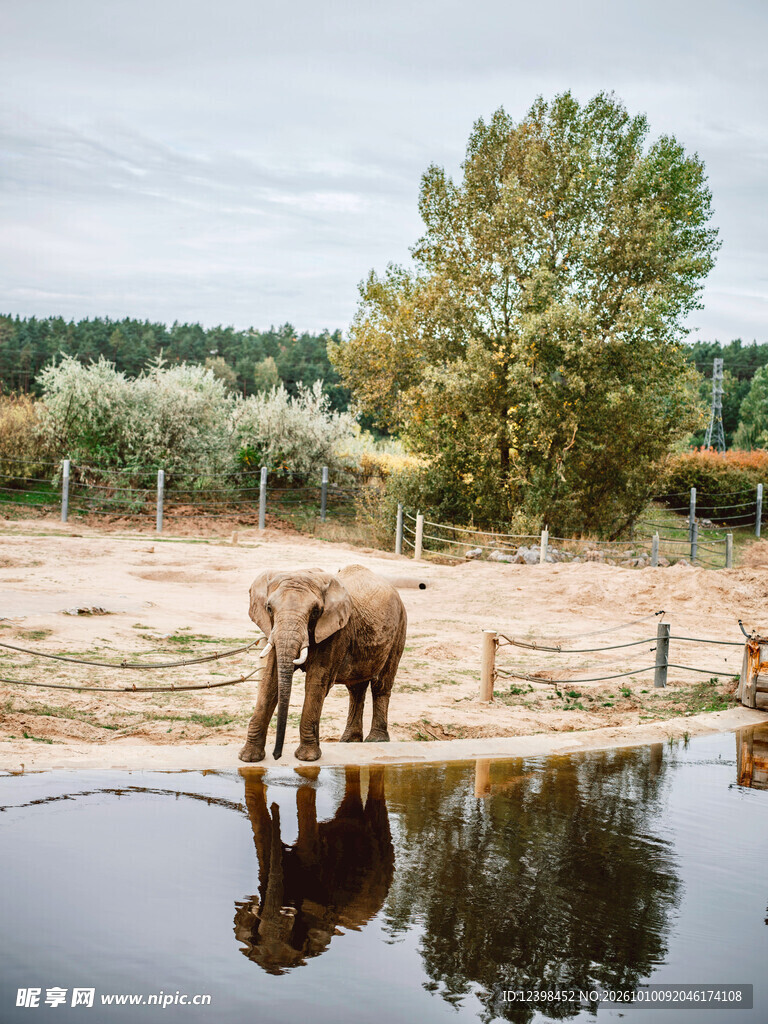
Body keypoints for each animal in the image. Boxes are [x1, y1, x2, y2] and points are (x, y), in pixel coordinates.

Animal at [239, 564, 407, 763]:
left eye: (315, 611)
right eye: (269, 608)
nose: (277, 755)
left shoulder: (336, 632)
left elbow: (316, 682)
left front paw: (307, 758)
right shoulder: (272, 629)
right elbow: (270, 681)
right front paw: (248, 758)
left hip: (400, 628)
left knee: (381, 684)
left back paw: (376, 741)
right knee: (356, 689)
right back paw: (349, 741)